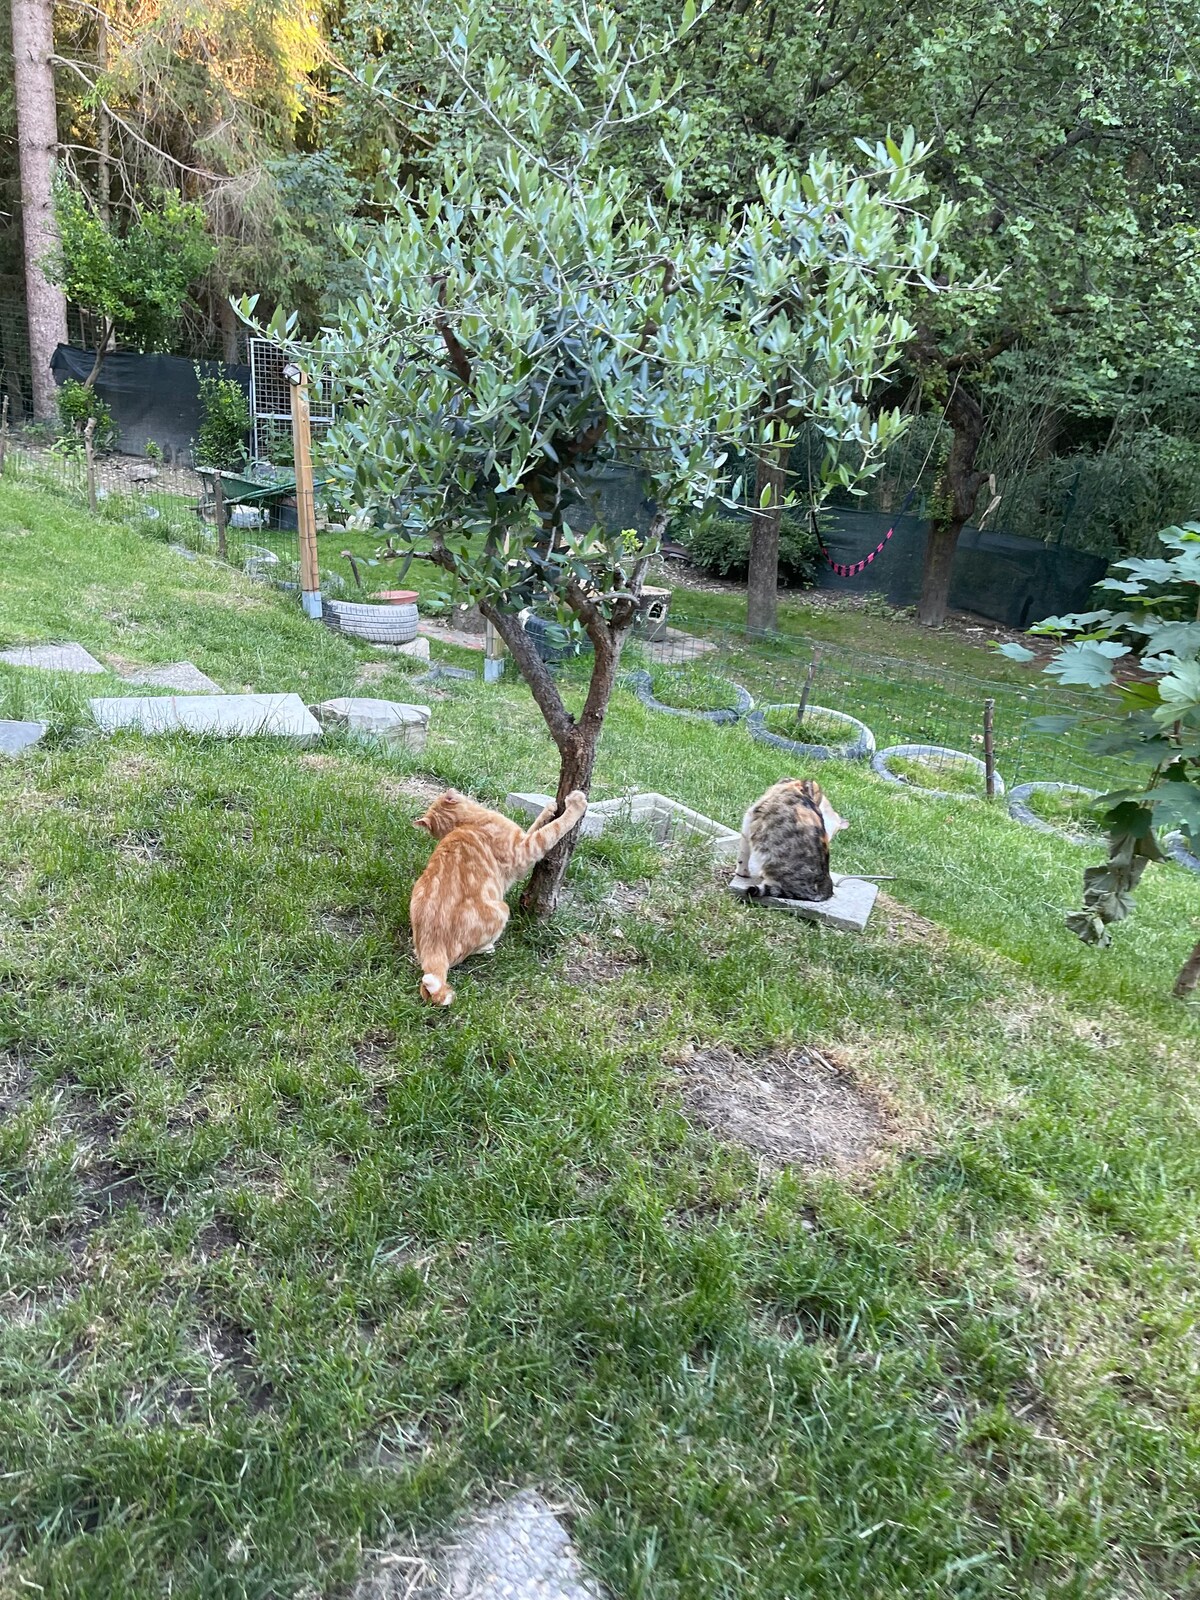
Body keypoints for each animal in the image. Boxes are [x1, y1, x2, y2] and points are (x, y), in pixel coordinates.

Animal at [409, 784, 588, 998]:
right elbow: (552, 829)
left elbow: (536, 825)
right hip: (502, 909)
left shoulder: (522, 839)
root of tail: (433, 947)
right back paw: (487, 948)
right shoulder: (525, 852)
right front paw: (576, 804)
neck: (464, 824)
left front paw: (550, 808)